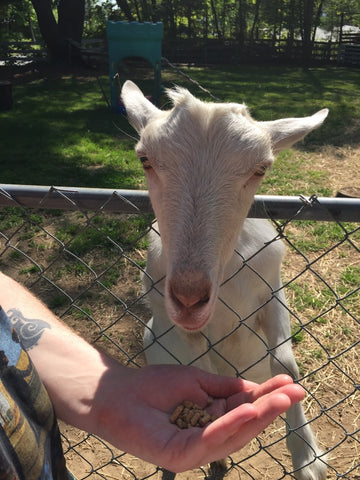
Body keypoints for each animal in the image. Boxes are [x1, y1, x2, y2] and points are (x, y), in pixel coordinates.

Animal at [121, 79, 330, 480]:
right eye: (145, 159)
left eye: (260, 168)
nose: (189, 298)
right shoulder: (182, 328)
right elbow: (201, 369)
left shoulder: (273, 292)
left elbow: (285, 364)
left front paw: (307, 458)